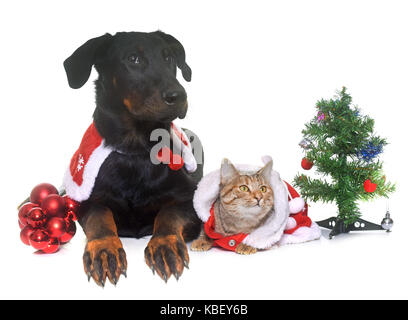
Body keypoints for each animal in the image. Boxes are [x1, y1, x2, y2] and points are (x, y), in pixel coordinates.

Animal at [63, 31, 202, 286]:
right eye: (133, 59)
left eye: (169, 58)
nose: (179, 95)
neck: (136, 151)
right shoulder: (86, 200)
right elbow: (99, 215)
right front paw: (104, 249)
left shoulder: (190, 199)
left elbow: (169, 213)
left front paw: (165, 244)